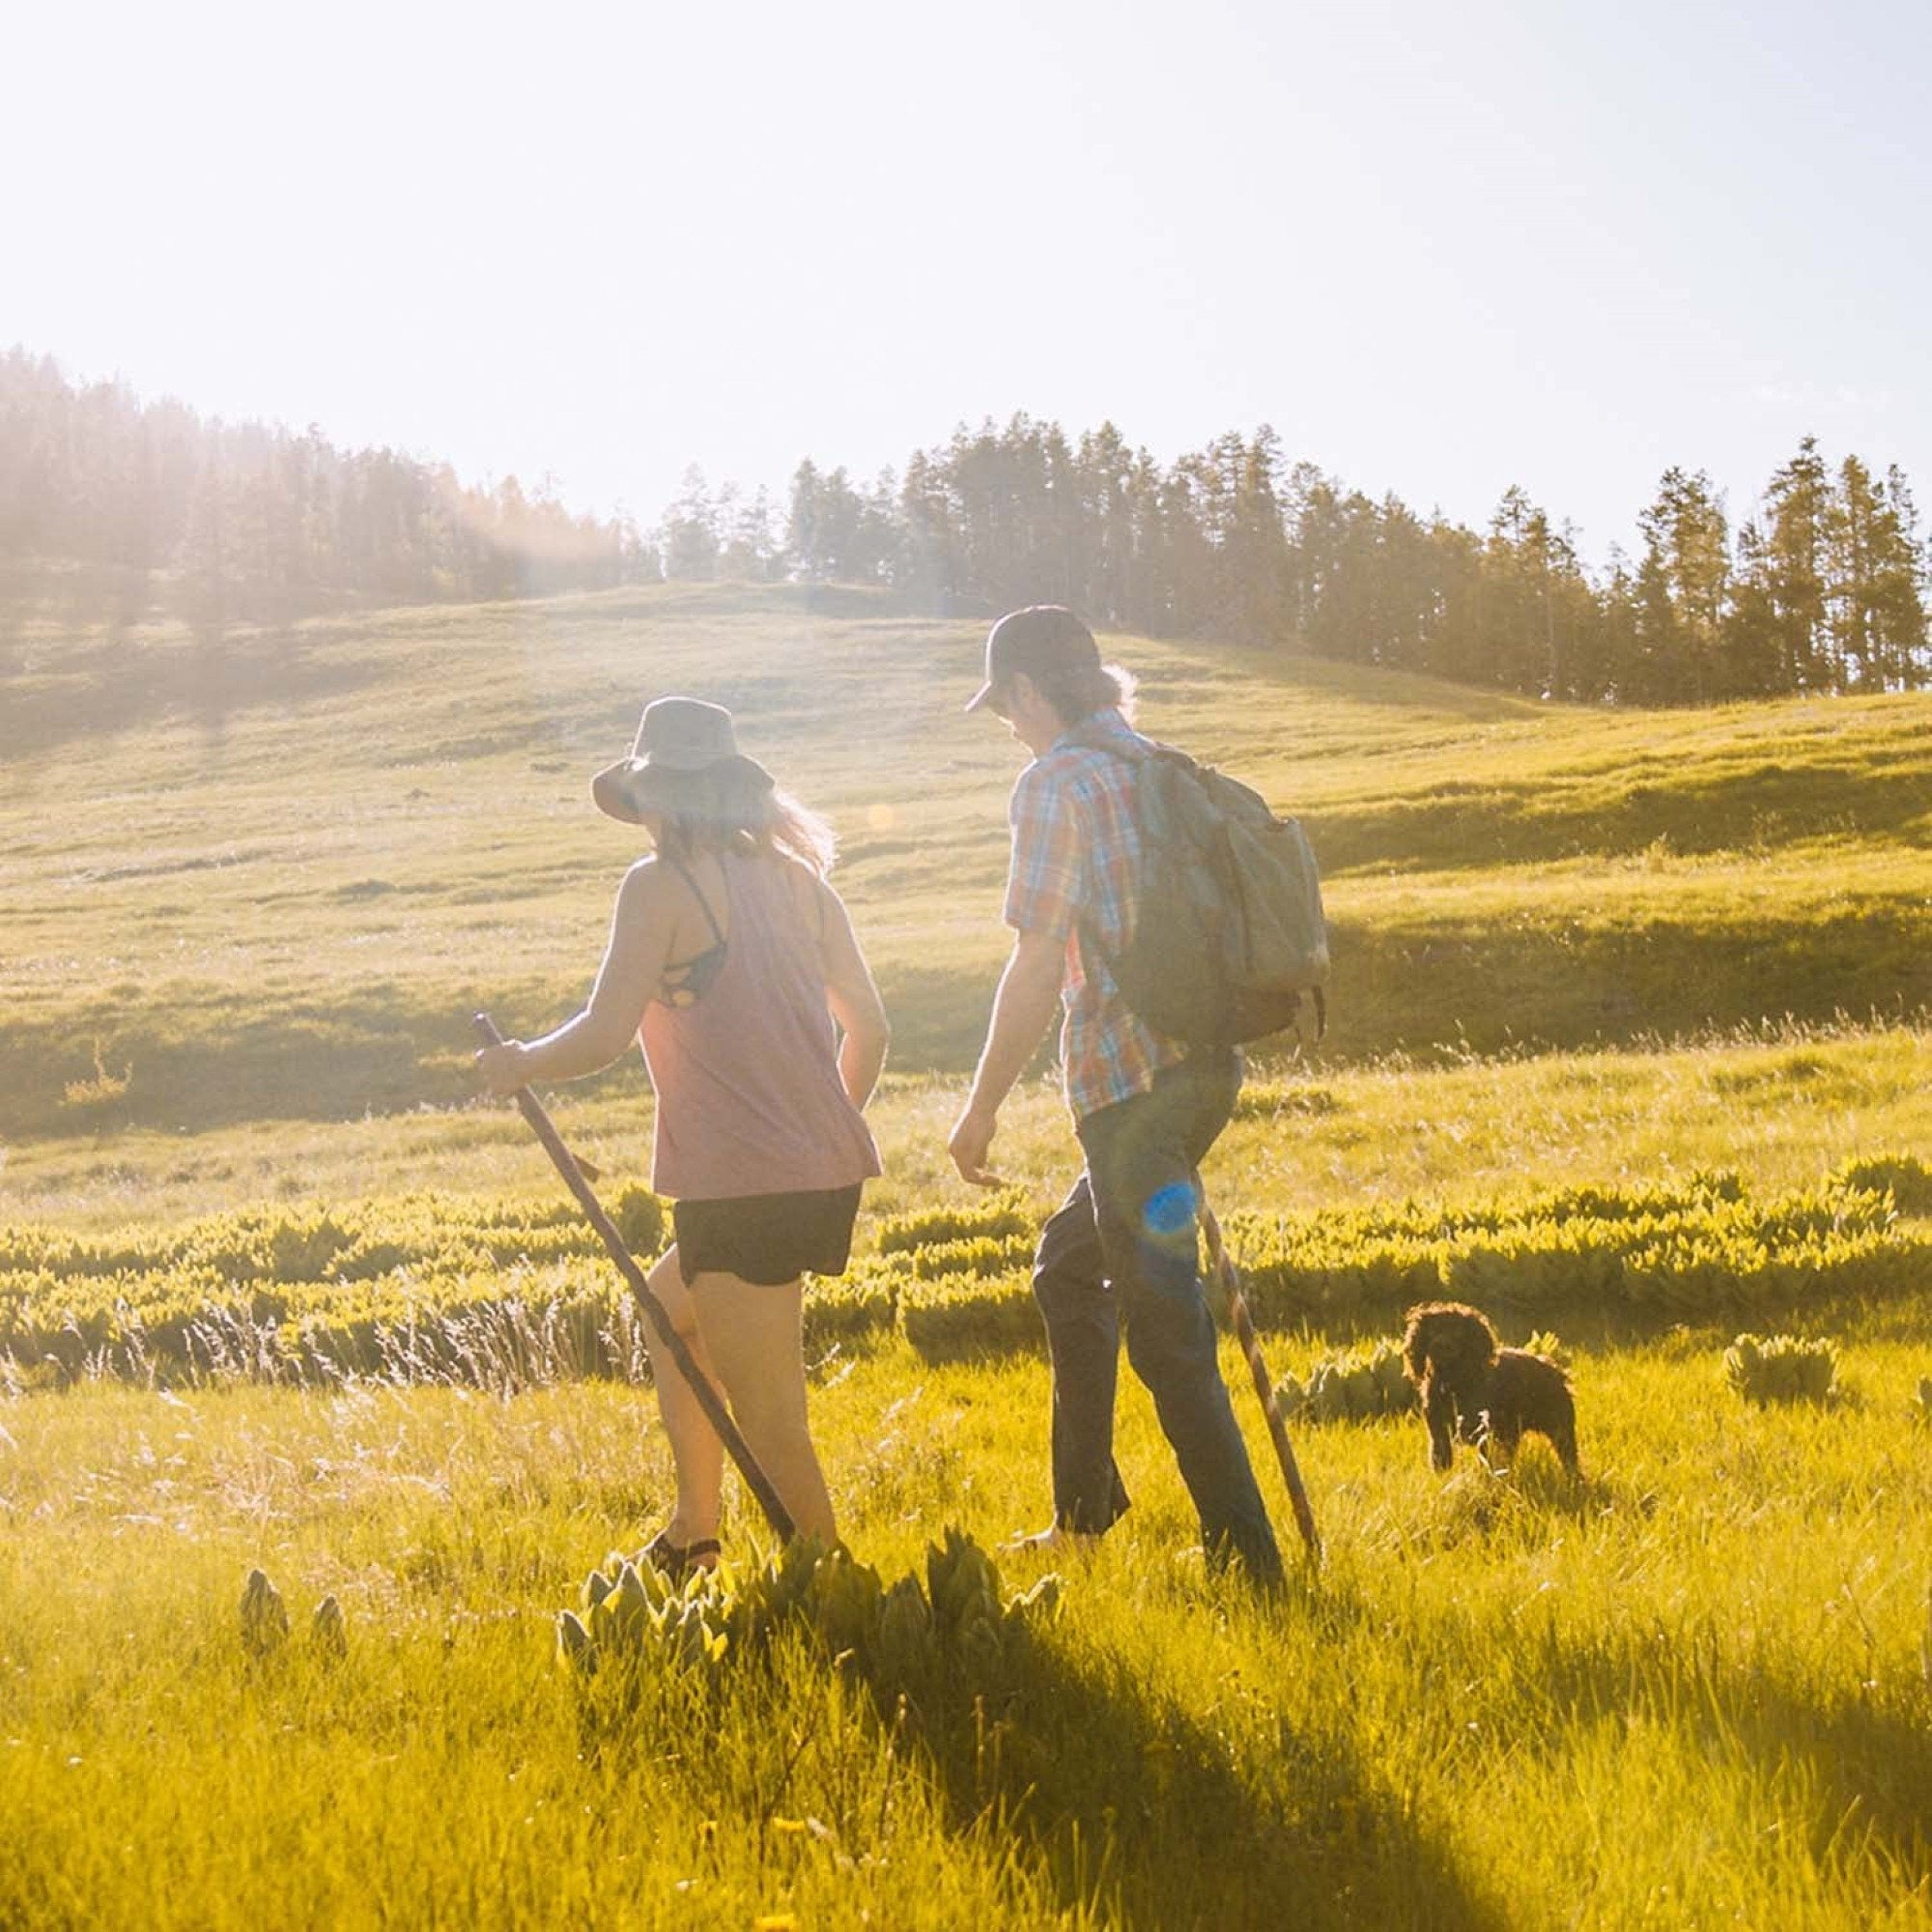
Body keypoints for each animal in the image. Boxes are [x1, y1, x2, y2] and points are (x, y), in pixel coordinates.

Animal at [1414, 1306, 1577, 1468]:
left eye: (1458, 1330)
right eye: (1432, 1330)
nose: (1439, 1345)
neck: (1453, 1382)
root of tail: (1554, 1369)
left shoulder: (1486, 1433)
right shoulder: (1439, 1432)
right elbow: (1441, 1460)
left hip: (1560, 1430)